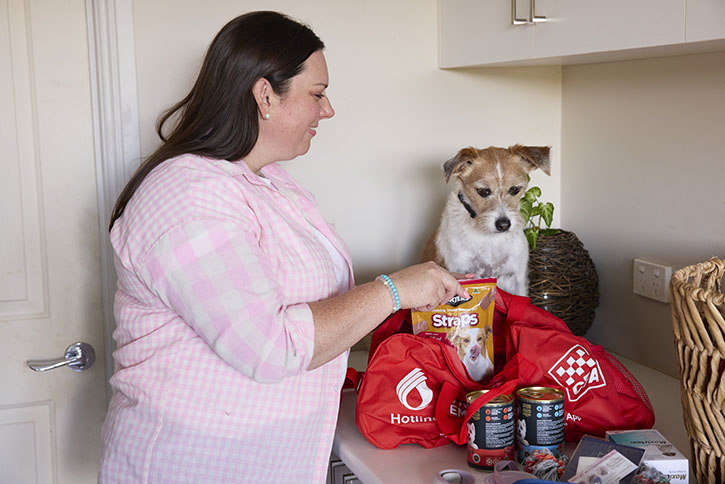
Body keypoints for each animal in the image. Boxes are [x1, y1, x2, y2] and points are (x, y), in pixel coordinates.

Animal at [418, 145, 548, 294]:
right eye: (483, 191)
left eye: (515, 189)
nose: (504, 225)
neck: (490, 239)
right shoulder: (460, 272)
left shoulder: (517, 278)